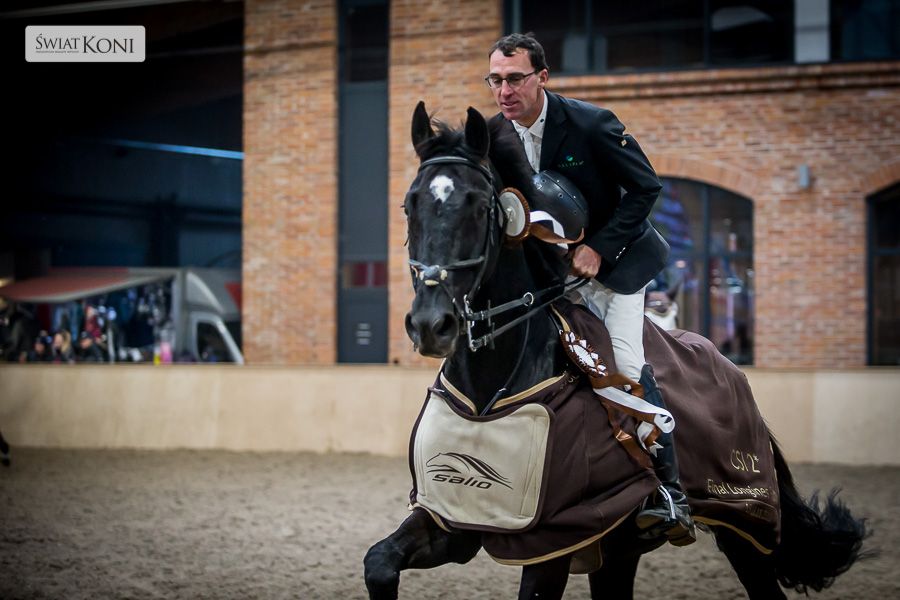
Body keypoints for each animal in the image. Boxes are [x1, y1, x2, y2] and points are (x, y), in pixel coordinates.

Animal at [363, 103, 867, 600]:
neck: (490, 392)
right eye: (409, 205)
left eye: (478, 205)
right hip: (620, 549)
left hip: (743, 526)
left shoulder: (556, 537)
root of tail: (732, 370)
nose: (431, 325)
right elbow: (379, 564)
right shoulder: (455, 517)